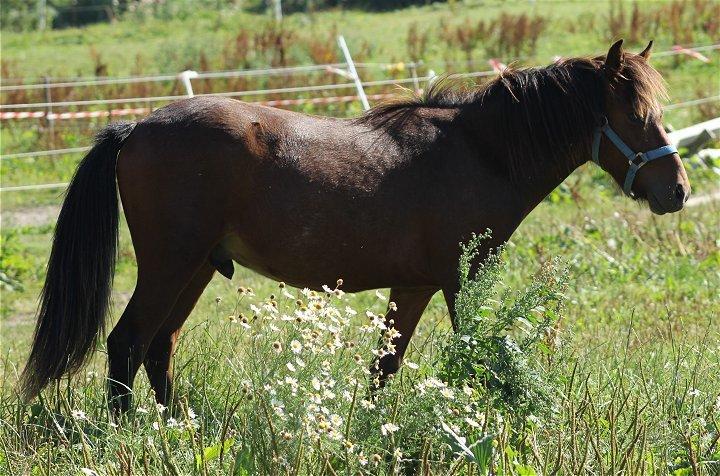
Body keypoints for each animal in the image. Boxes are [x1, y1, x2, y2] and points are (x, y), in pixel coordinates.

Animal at [19, 41, 688, 412]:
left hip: (196, 270)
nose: (677, 190)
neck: (478, 151)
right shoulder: (459, 283)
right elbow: (472, 356)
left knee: (158, 348)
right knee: (126, 344)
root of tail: (135, 127)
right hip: (169, 267)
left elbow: (382, 371)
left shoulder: (414, 287)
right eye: (633, 113)